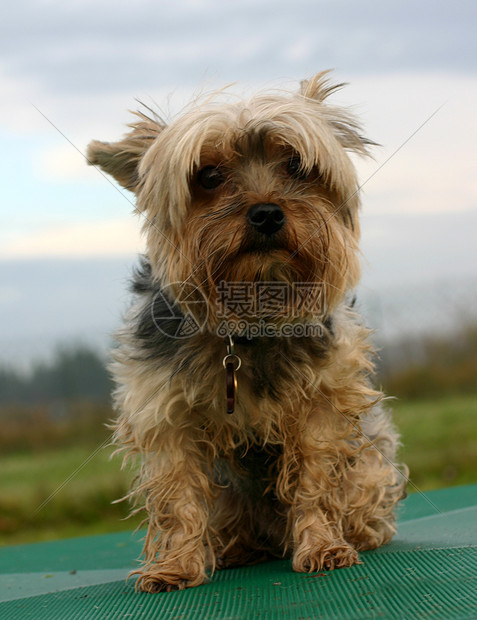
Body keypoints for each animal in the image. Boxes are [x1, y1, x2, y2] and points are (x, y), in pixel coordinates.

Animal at [86, 72, 406, 592]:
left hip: (371, 464)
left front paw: (323, 545)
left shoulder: (322, 404)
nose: (267, 213)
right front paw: (175, 566)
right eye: (208, 176)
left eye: (297, 164)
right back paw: (235, 548)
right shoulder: (166, 413)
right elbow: (178, 494)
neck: (250, 318)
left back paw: (357, 533)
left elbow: (315, 477)